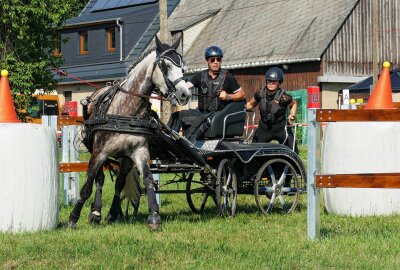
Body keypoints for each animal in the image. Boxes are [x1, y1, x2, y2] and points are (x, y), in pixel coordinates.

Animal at [68, 36, 191, 230]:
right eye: (166, 65)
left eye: (182, 67)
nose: (185, 94)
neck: (126, 113)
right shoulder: (99, 153)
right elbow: (87, 185)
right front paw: (73, 219)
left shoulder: (139, 152)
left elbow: (147, 180)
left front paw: (154, 216)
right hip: (95, 151)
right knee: (100, 179)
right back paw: (96, 212)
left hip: (125, 159)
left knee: (118, 183)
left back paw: (111, 214)